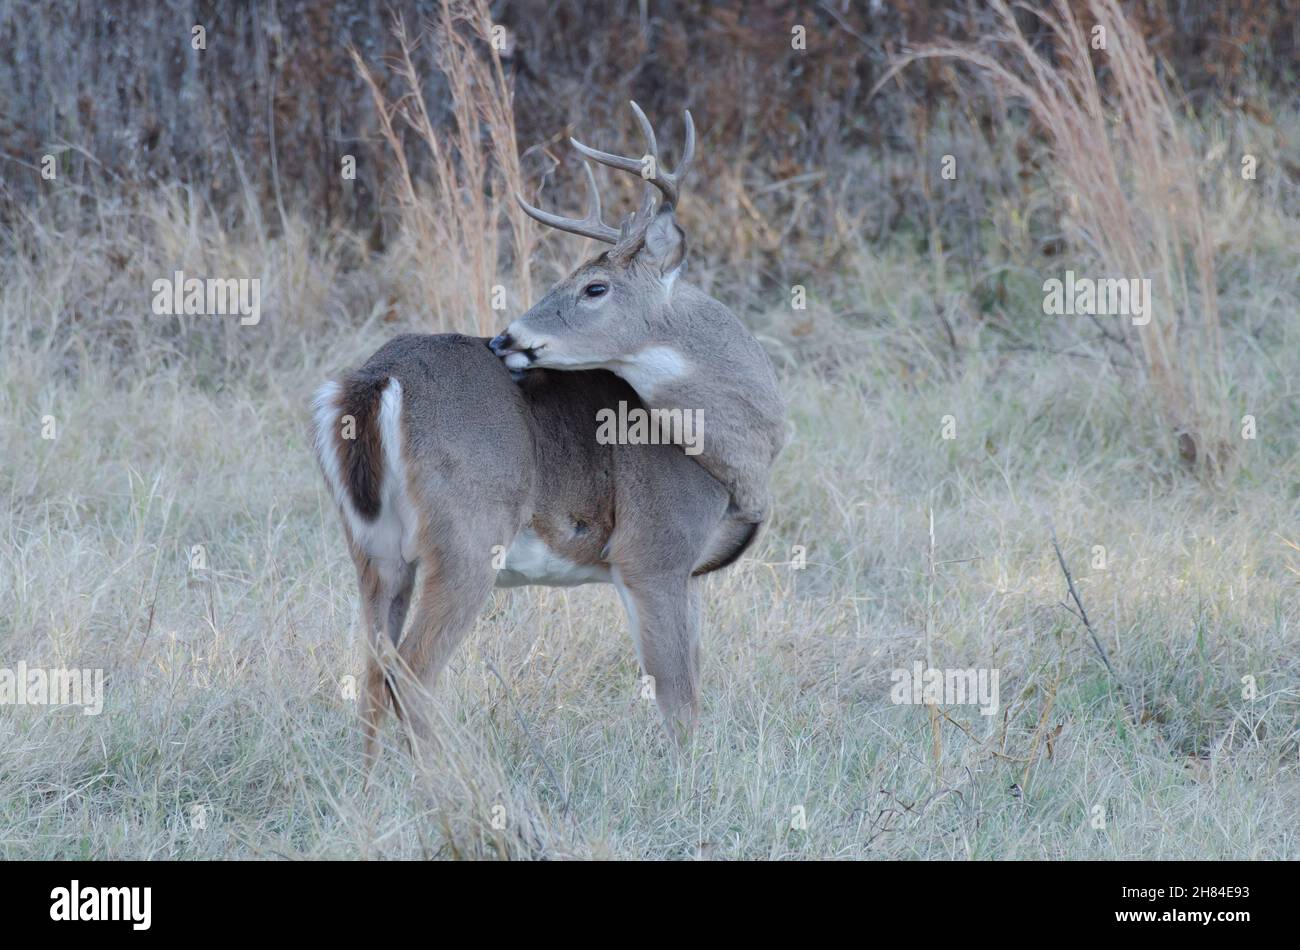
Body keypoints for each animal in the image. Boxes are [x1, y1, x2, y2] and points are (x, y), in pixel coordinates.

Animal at [311, 104, 784, 767]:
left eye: (593, 287)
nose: (503, 338)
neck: (722, 457)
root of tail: (376, 380)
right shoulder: (651, 551)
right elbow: (680, 702)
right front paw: (690, 781)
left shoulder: (686, 572)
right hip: (469, 533)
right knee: (414, 672)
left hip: (374, 550)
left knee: (372, 673)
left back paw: (373, 783)